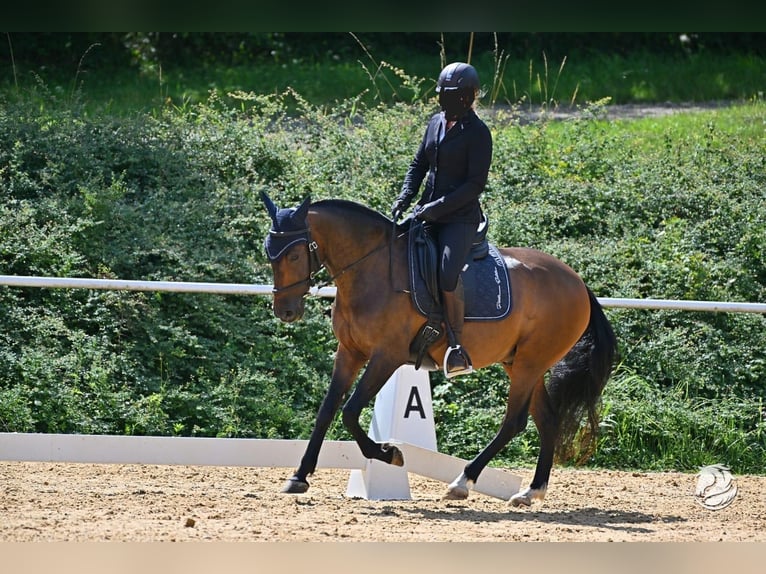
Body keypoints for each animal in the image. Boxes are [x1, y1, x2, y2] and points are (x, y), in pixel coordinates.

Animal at [258, 194, 616, 508]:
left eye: (293, 255)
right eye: (269, 253)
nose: (285, 311)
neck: (371, 269)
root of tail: (576, 281)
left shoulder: (386, 356)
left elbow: (349, 412)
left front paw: (390, 453)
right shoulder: (349, 352)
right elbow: (327, 411)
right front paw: (299, 477)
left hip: (530, 364)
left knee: (514, 422)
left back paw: (462, 482)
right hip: (520, 363)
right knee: (547, 419)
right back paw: (530, 492)